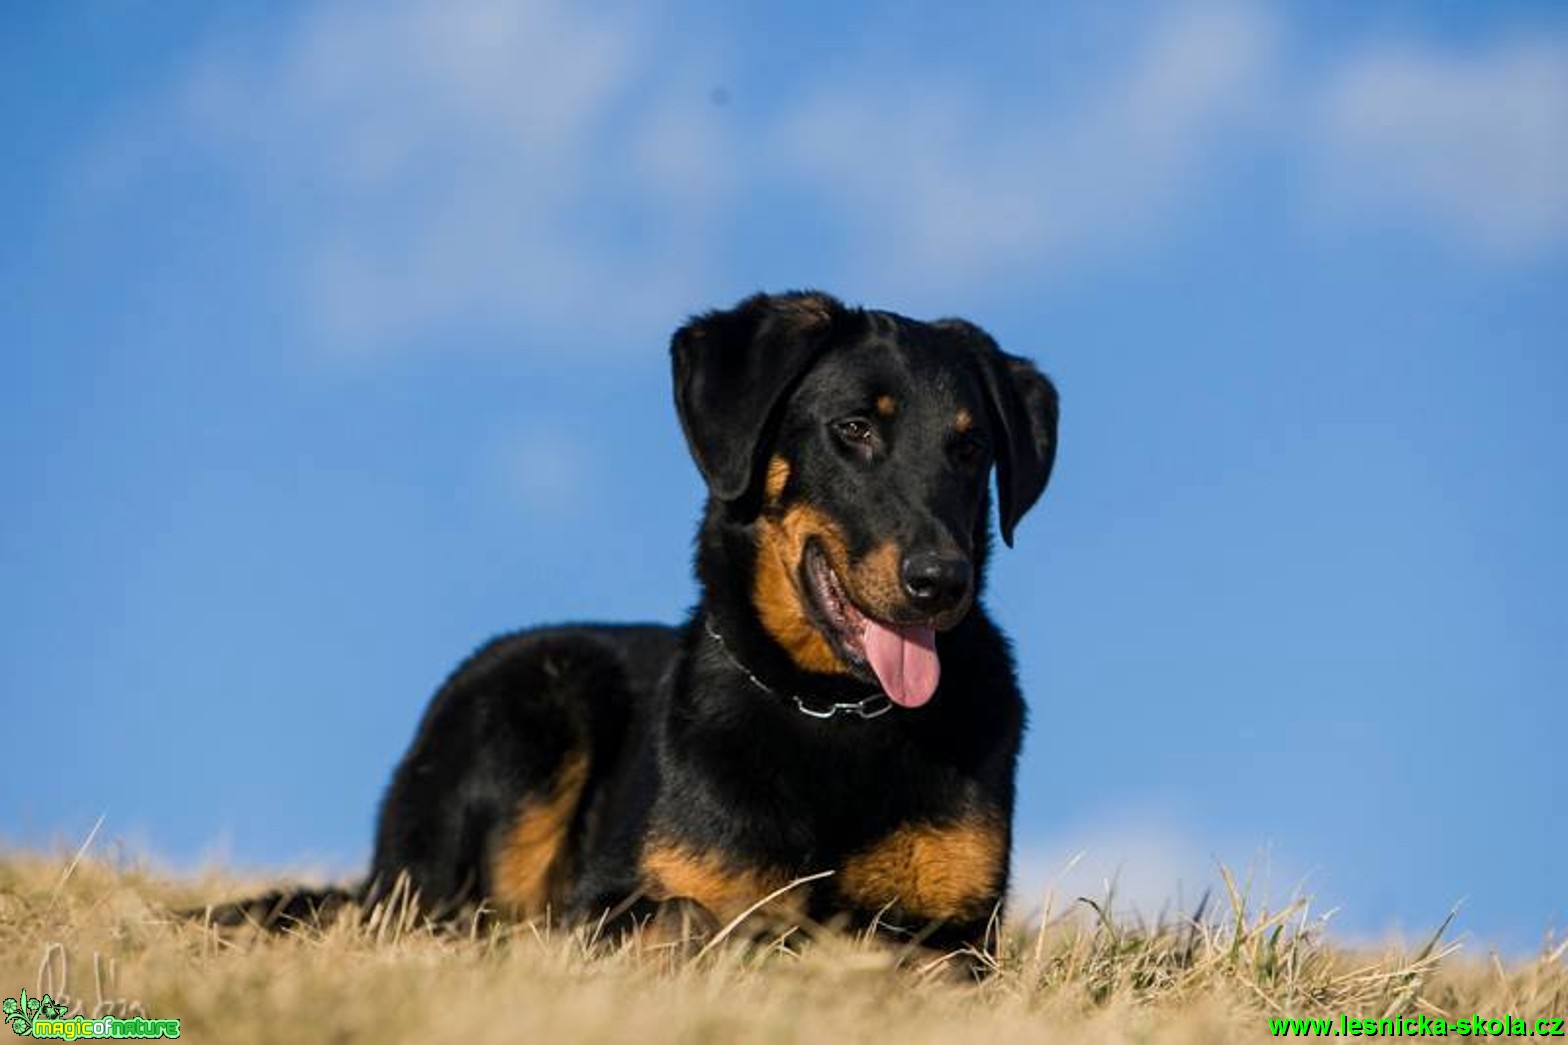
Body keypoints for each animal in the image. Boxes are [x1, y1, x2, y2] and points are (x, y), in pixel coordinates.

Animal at [208, 288, 1059, 953]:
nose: (941, 581)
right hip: (533, 707)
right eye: (853, 428)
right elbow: (685, 914)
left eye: (970, 446)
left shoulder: (957, 932)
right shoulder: (621, 891)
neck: (833, 708)